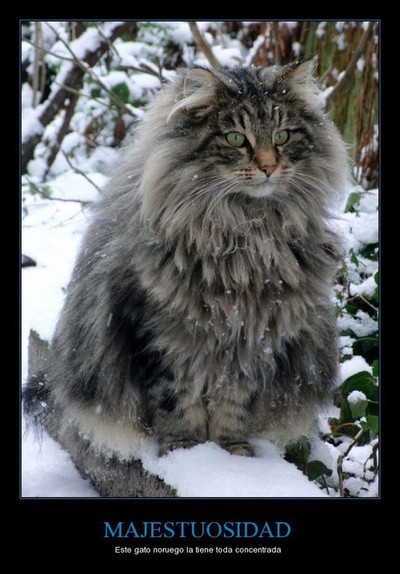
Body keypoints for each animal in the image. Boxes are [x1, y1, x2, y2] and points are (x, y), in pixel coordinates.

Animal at [24, 59, 348, 471]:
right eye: (235, 139)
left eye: (283, 135)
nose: (269, 167)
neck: (245, 233)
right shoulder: (159, 334)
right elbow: (176, 401)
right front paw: (186, 453)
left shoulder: (254, 336)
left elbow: (234, 403)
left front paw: (231, 453)